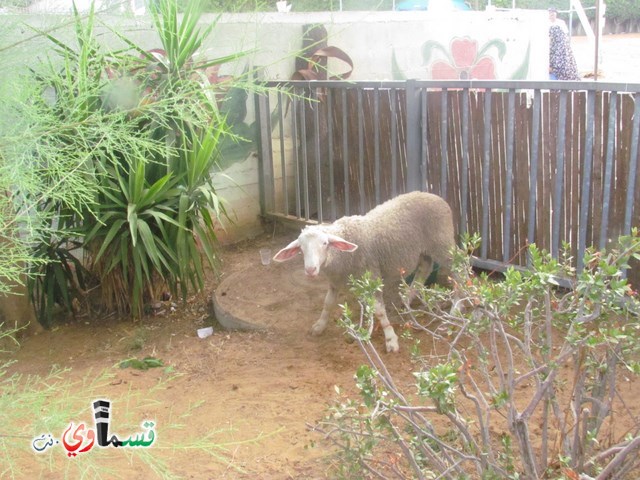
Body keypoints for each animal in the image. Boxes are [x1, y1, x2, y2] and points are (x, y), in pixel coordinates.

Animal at [272, 191, 452, 352]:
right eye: (301, 248)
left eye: (325, 243)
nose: (310, 269)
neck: (340, 256)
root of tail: (435, 196)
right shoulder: (336, 282)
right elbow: (328, 303)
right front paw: (320, 326)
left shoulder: (371, 275)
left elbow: (379, 310)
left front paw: (390, 339)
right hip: (424, 250)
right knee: (425, 268)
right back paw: (408, 297)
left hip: (443, 244)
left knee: (456, 272)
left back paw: (453, 312)